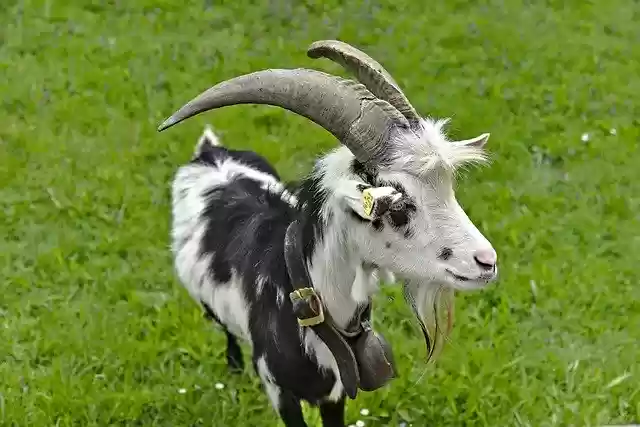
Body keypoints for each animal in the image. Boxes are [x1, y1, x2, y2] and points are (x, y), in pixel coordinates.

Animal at [159, 40, 499, 427]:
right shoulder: (280, 392)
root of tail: (210, 152)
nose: (486, 262)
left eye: (448, 189)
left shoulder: (336, 393)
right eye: (397, 206)